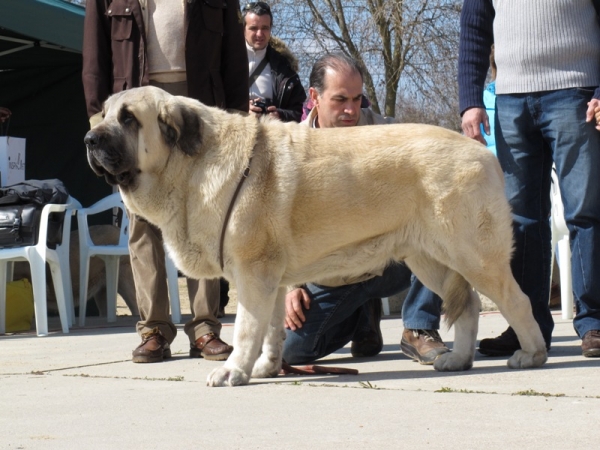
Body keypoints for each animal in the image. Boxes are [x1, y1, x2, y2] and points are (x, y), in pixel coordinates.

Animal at [84, 87, 548, 386]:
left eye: (128, 119)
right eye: (102, 115)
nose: (89, 138)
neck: (192, 165)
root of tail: (484, 153)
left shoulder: (252, 273)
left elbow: (246, 328)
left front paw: (234, 370)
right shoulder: (267, 278)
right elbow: (270, 328)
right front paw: (266, 368)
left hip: (474, 255)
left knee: (516, 300)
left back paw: (531, 354)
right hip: (430, 259)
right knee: (467, 304)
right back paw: (460, 359)